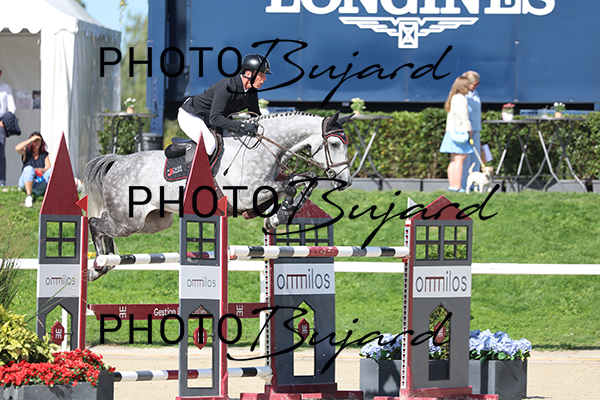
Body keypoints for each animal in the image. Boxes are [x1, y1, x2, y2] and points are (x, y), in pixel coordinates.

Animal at [83, 111, 353, 281]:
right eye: (335, 145)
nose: (347, 181)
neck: (262, 149)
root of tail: (118, 161)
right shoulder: (246, 196)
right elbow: (289, 185)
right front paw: (280, 215)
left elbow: (300, 181)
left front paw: (278, 217)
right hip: (129, 221)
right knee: (95, 223)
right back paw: (98, 265)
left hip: (154, 221)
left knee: (105, 225)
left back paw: (107, 261)